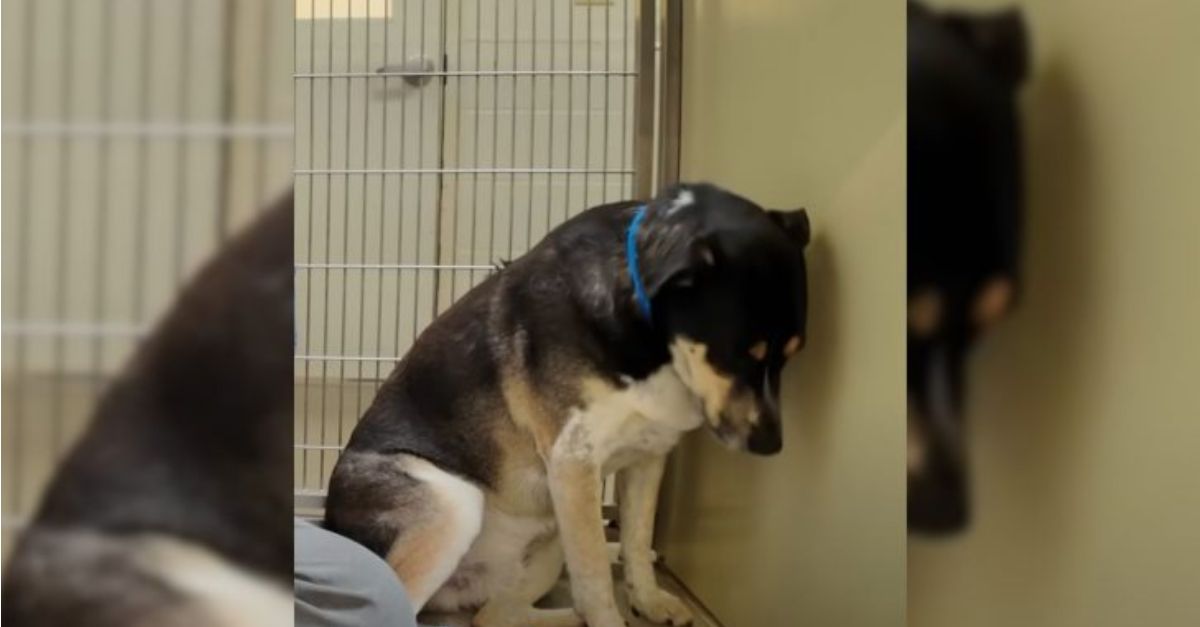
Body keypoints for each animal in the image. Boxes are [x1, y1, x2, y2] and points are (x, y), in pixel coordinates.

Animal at [324, 181, 811, 624]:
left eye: (793, 354)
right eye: (738, 354)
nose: (772, 445)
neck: (649, 338)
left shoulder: (648, 456)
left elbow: (636, 540)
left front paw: (649, 601)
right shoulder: (573, 462)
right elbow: (595, 577)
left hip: (547, 546)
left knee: (496, 616)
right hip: (452, 504)